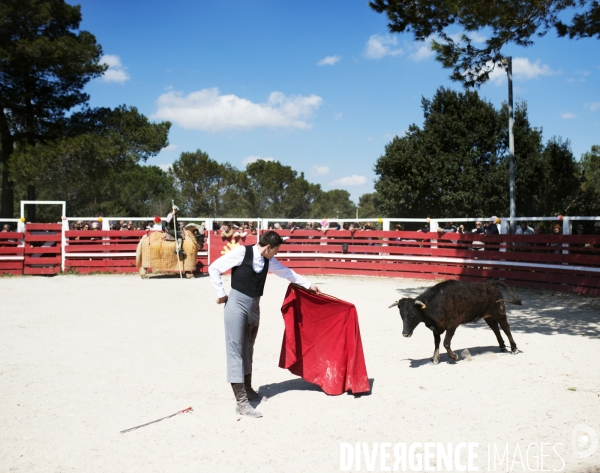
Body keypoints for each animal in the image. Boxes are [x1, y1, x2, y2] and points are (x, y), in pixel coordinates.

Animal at [390, 278, 520, 364]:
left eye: (412, 314)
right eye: (401, 315)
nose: (405, 334)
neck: (434, 304)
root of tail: (491, 285)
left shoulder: (452, 325)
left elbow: (446, 343)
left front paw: (454, 356)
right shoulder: (436, 329)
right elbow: (437, 343)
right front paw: (435, 358)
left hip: (499, 312)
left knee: (506, 327)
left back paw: (514, 348)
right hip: (488, 316)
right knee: (495, 328)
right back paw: (502, 346)